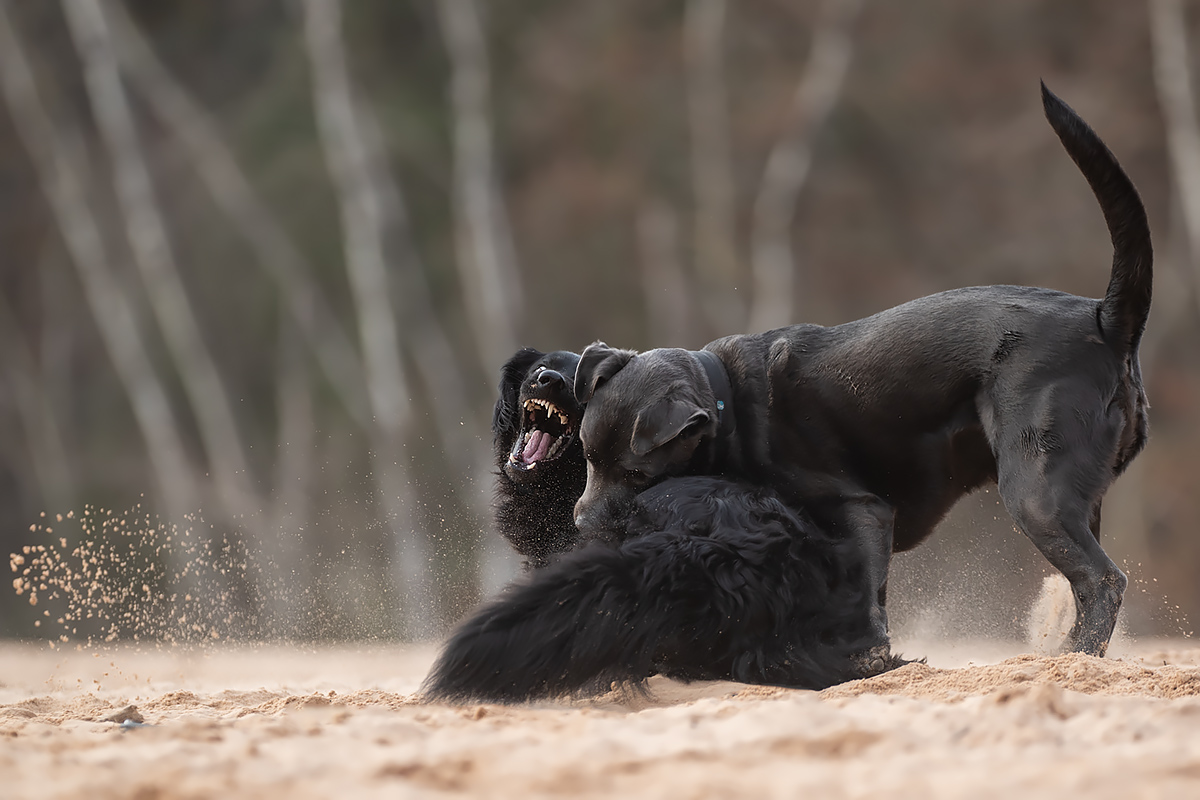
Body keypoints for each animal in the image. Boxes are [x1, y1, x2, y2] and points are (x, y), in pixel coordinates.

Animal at [571, 84, 1152, 657]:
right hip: (1075, 498)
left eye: (637, 474)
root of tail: (1101, 318)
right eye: (588, 458)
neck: (726, 404)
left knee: (1103, 580)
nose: (579, 521)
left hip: (1035, 494)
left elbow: (868, 597)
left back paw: (1073, 657)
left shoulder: (863, 512)